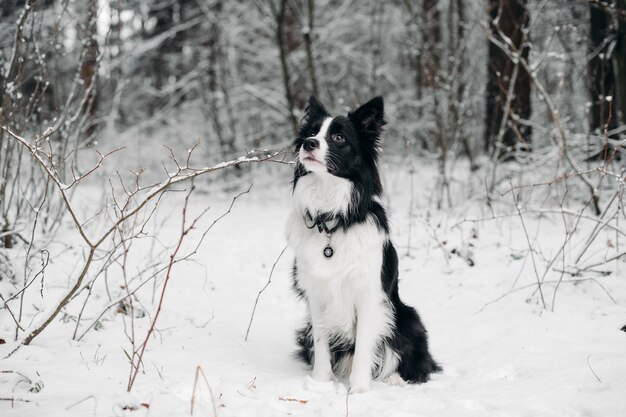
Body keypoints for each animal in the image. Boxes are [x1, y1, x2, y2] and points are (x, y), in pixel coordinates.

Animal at [284, 96, 438, 392]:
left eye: (338, 137)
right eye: (312, 132)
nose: (309, 144)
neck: (333, 218)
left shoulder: (369, 295)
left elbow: (365, 347)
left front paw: (359, 390)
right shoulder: (317, 295)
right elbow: (321, 343)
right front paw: (320, 383)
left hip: (407, 317)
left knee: (414, 361)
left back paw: (395, 378)